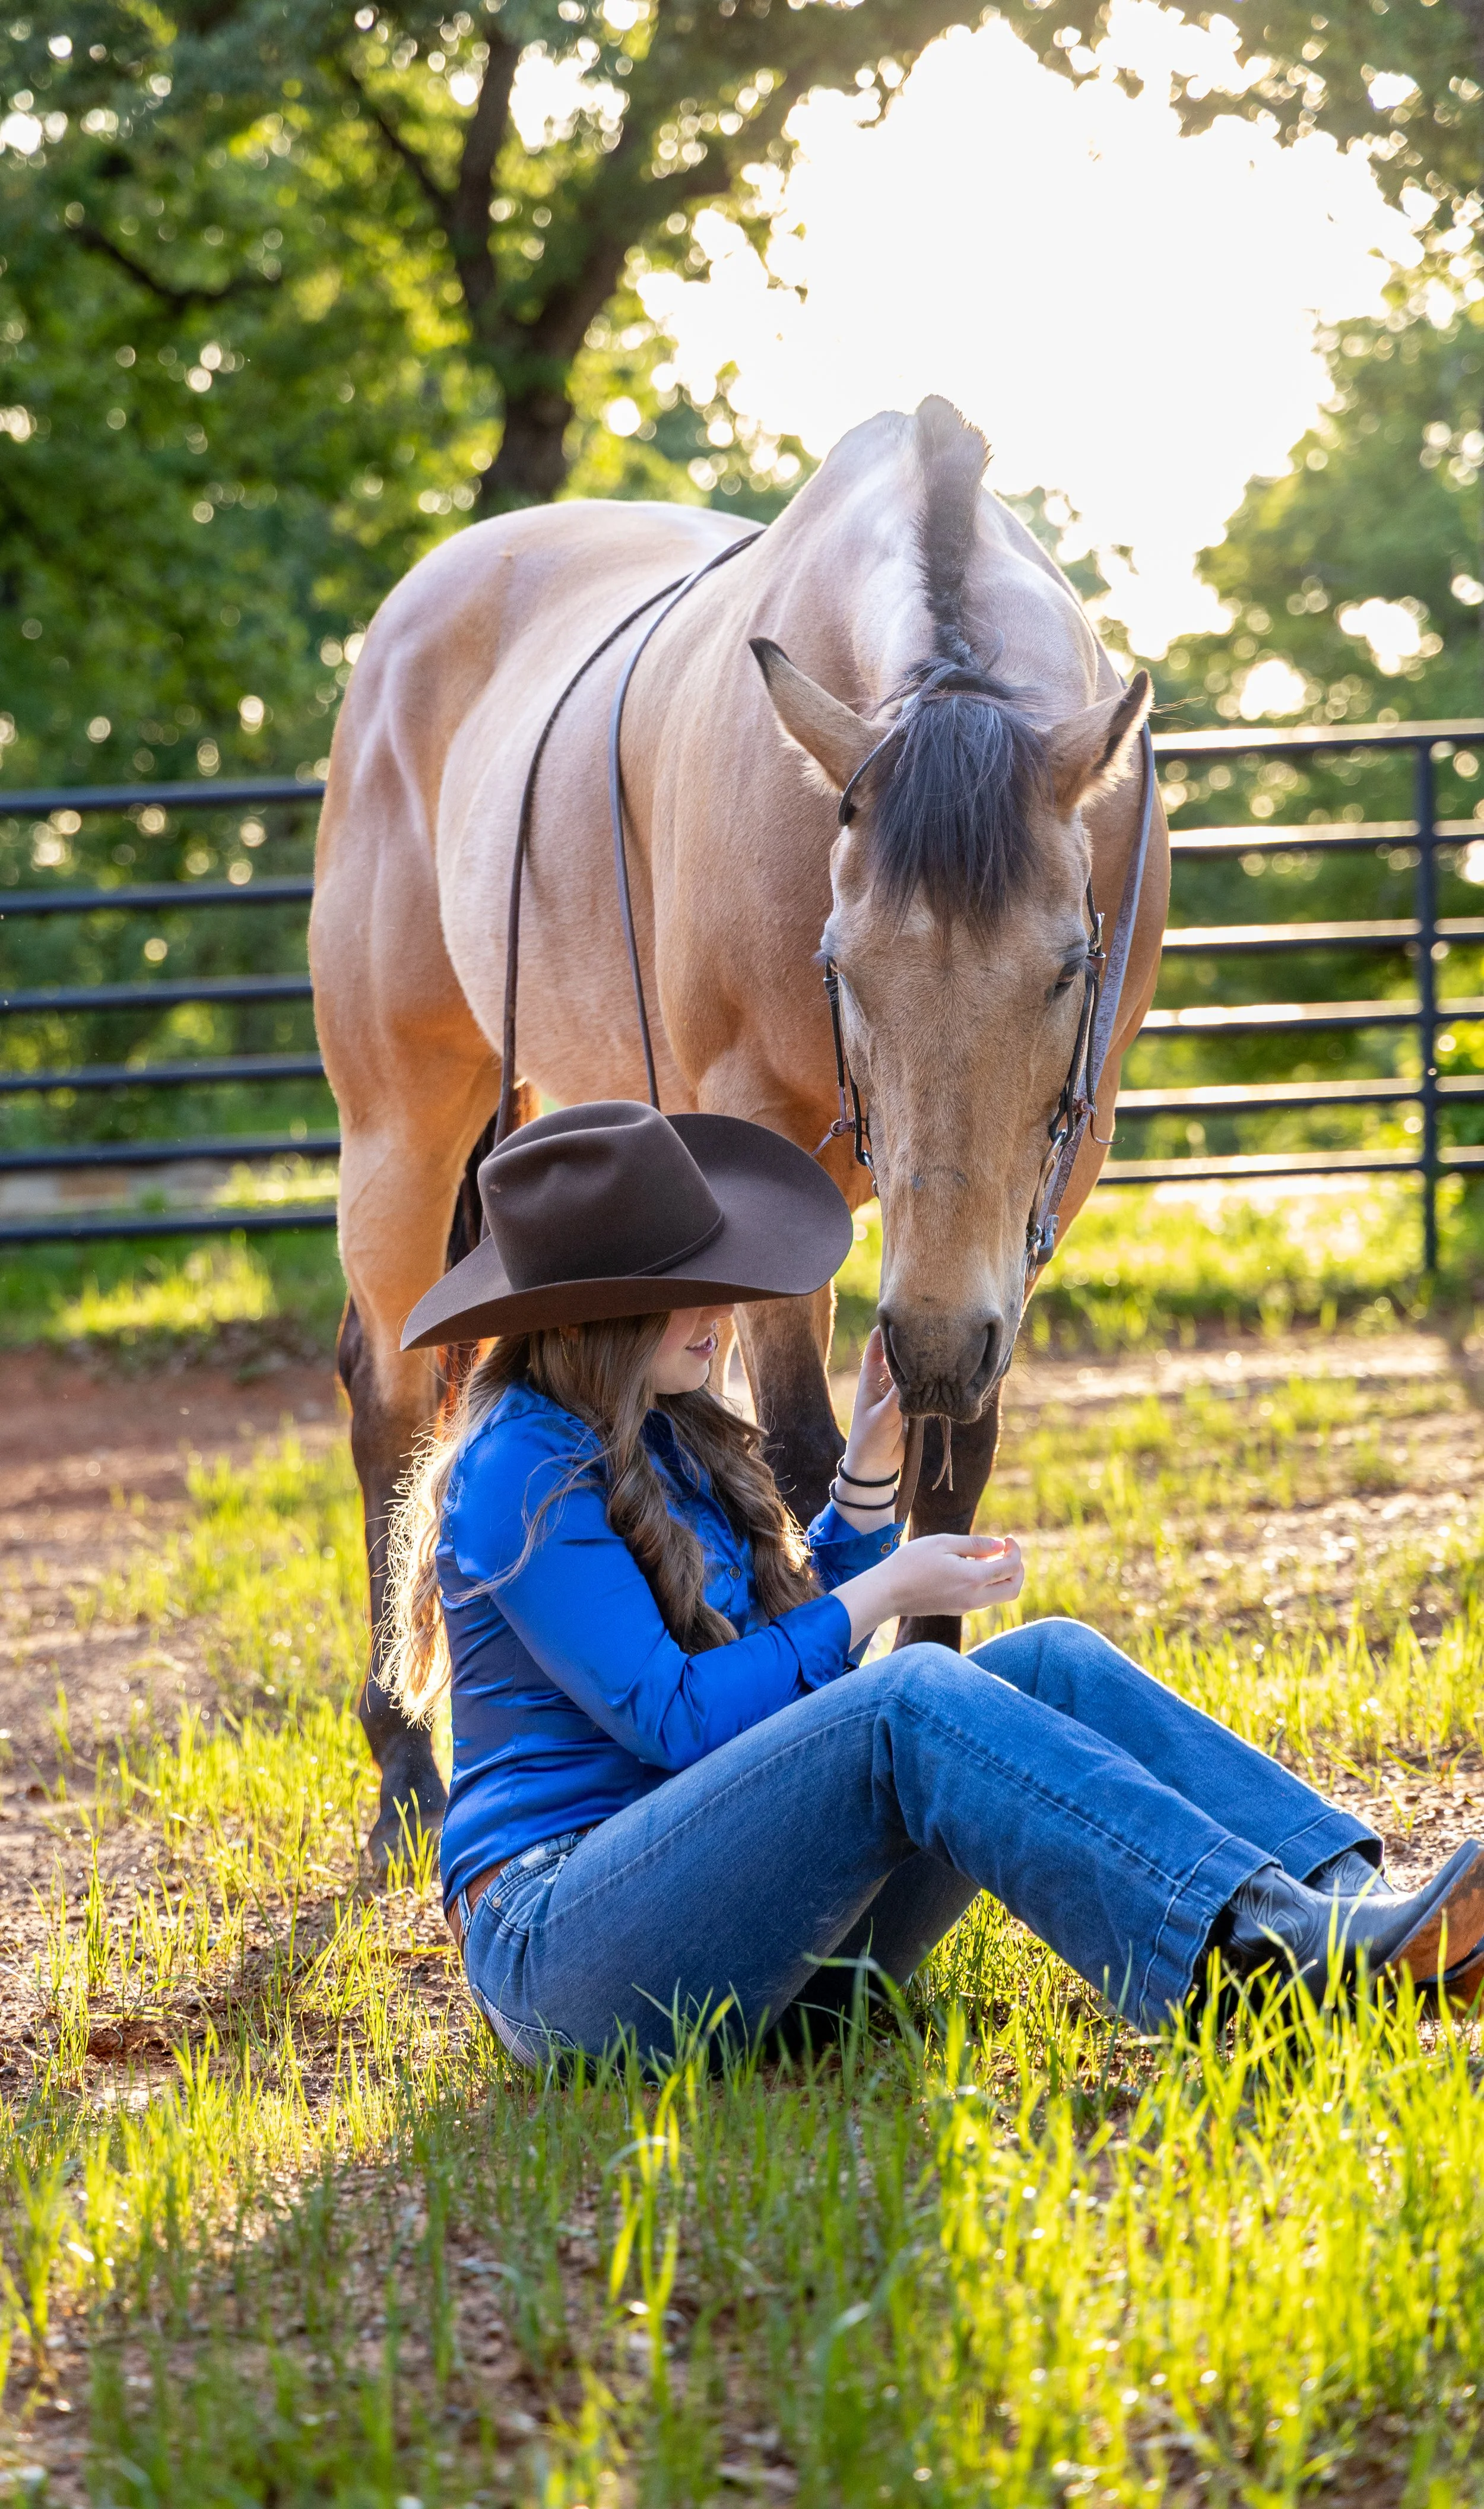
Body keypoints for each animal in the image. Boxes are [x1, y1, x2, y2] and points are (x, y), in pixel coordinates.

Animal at [309, 395, 1169, 1869]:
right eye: (841, 963)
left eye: (1067, 967)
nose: (928, 1337)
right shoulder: (758, 1140)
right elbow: (802, 1453)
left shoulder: (1055, 1175)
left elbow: (952, 1453)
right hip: (401, 1123)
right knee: (393, 1405)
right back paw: (406, 1758)